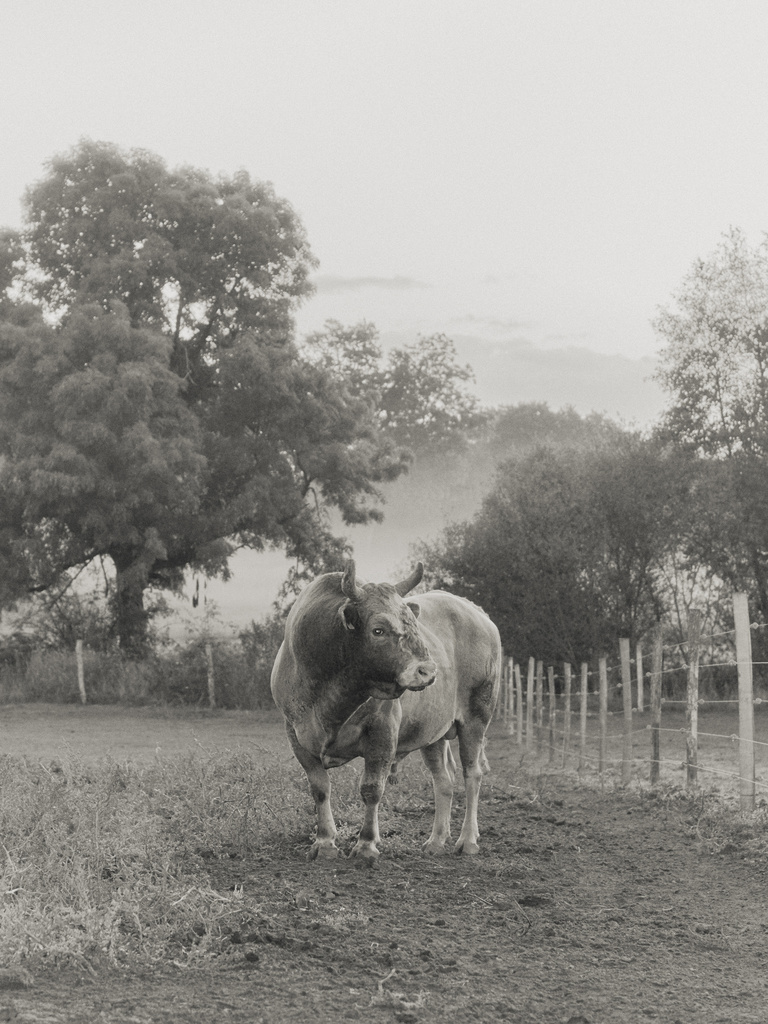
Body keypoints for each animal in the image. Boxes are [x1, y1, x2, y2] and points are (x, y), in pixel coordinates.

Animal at [272, 565, 505, 860]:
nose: (427, 671)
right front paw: (324, 842)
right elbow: (320, 788)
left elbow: (371, 789)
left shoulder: (382, 732)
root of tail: (476, 612)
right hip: (432, 732)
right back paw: (437, 839)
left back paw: (468, 840)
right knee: (443, 780)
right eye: (378, 630)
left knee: (472, 774)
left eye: (414, 624)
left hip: (476, 718)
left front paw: (366, 845)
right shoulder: (296, 734)